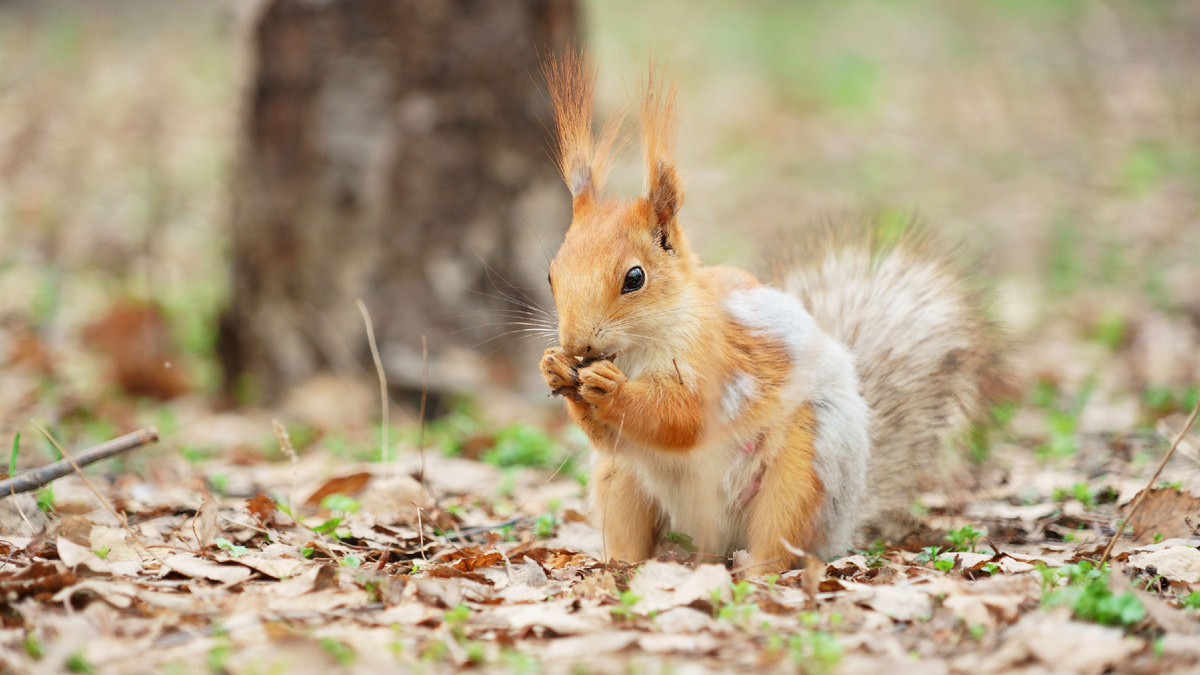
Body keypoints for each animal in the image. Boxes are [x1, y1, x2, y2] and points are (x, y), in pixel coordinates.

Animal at [540, 51, 1008, 571]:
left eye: (634, 278)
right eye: (551, 275)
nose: (576, 344)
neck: (639, 348)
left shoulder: (721, 363)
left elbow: (681, 418)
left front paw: (611, 388)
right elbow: (611, 436)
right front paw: (554, 367)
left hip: (804, 470)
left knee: (781, 541)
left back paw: (758, 568)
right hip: (619, 481)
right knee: (628, 519)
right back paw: (622, 562)